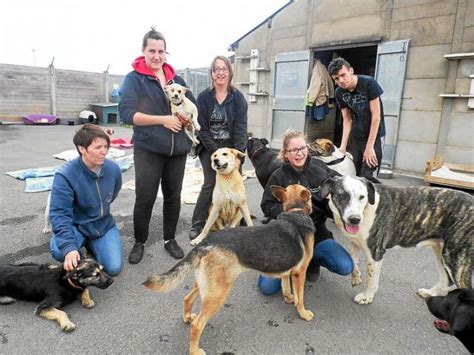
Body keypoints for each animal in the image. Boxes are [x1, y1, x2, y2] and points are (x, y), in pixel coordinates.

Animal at [143, 185, 316, 355]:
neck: (295, 211)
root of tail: (205, 242)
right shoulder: (300, 273)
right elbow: (300, 298)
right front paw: (303, 313)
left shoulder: (288, 270)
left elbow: (286, 287)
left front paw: (289, 298)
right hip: (217, 294)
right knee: (198, 324)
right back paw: (195, 350)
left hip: (206, 286)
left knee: (187, 298)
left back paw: (186, 317)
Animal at [320, 177, 472, 306]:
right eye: (343, 196)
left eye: (362, 197)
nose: (355, 220)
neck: (367, 207)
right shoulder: (356, 242)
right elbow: (351, 259)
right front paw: (356, 276)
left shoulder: (375, 253)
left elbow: (371, 279)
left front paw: (367, 297)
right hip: (441, 251)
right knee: (447, 279)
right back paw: (430, 292)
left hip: (456, 259)